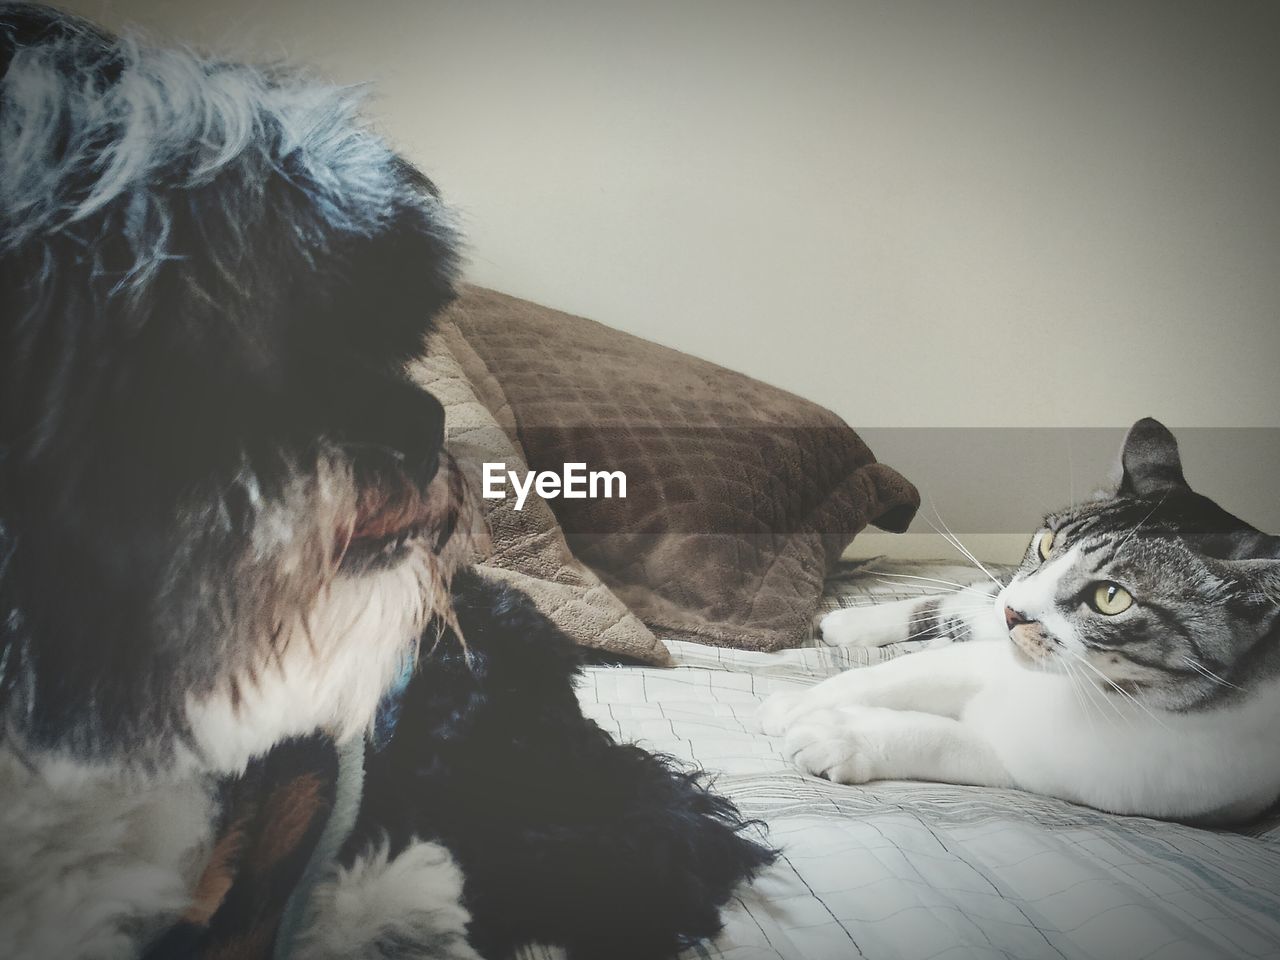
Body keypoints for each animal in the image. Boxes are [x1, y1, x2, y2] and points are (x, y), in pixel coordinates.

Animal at [757, 419, 1280, 829]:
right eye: (1047, 544)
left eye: (1112, 598)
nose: (1014, 612)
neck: (1078, 689)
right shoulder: (979, 657)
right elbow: (884, 676)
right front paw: (797, 705)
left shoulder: (1071, 771)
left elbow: (941, 740)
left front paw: (835, 736)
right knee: (959, 609)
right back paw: (850, 623)